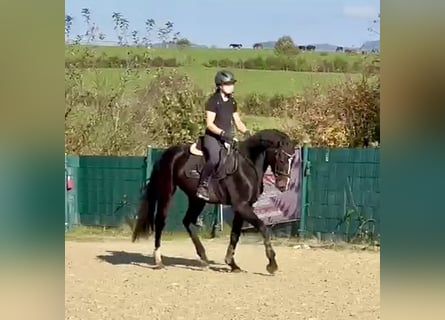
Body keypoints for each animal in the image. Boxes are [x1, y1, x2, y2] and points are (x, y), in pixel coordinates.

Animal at [130, 129, 294, 274]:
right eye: (281, 157)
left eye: (292, 159)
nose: (283, 185)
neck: (247, 166)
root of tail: (167, 154)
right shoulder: (242, 207)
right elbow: (263, 228)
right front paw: (272, 264)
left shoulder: (242, 208)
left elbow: (235, 235)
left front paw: (232, 264)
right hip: (167, 192)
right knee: (160, 221)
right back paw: (158, 260)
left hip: (196, 200)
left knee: (187, 221)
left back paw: (204, 258)